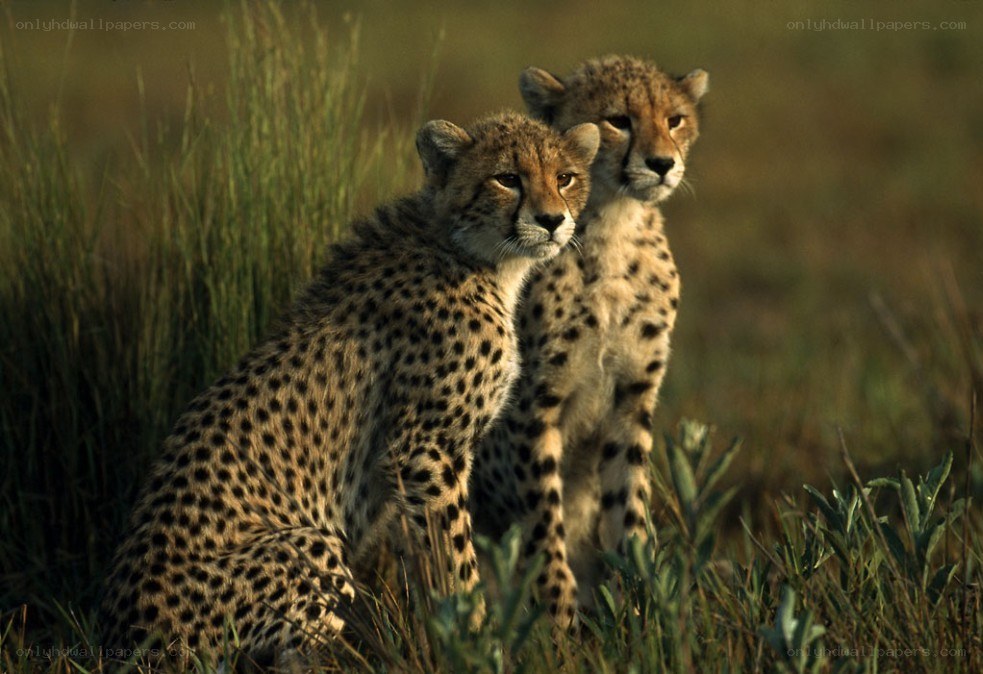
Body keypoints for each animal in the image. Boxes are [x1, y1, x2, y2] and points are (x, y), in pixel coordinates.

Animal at [98, 111, 600, 663]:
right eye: (507, 178)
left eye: (565, 178)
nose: (552, 220)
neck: (473, 253)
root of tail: (120, 632)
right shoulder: (423, 450)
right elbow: (456, 560)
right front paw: (477, 645)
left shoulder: (421, 465)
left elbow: (431, 563)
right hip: (307, 546)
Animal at [471, 55, 709, 628]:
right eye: (617, 120)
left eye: (674, 120)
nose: (662, 164)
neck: (614, 230)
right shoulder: (534, 407)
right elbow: (543, 522)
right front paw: (558, 622)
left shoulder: (632, 397)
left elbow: (630, 506)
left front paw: (645, 611)